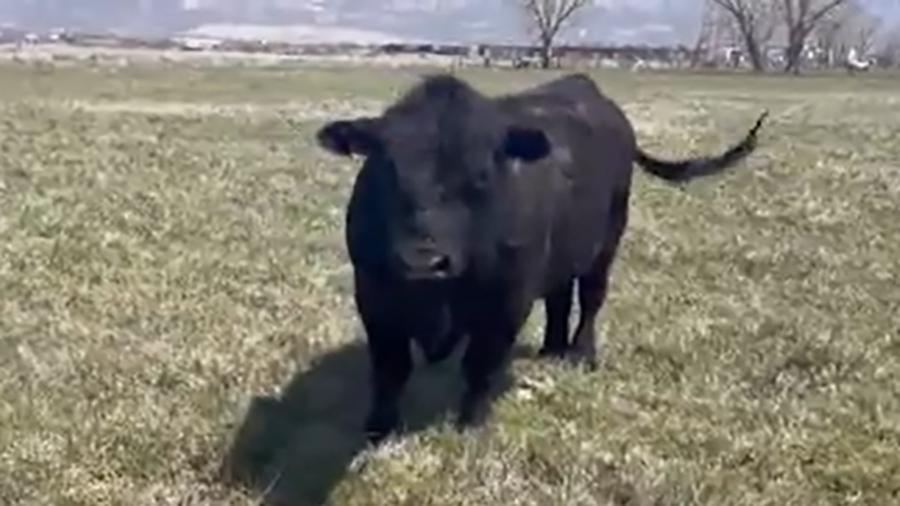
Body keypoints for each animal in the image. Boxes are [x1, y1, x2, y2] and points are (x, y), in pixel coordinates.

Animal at [315, 73, 767, 444]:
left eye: (481, 175)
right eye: (386, 170)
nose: (423, 262)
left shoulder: (506, 304)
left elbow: (480, 366)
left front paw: (470, 427)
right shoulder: (373, 296)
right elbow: (390, 368)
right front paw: (378, 430)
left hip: (607, 241)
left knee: (590, 298)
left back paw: (580, 354)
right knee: (559, 298)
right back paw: (552, 348)